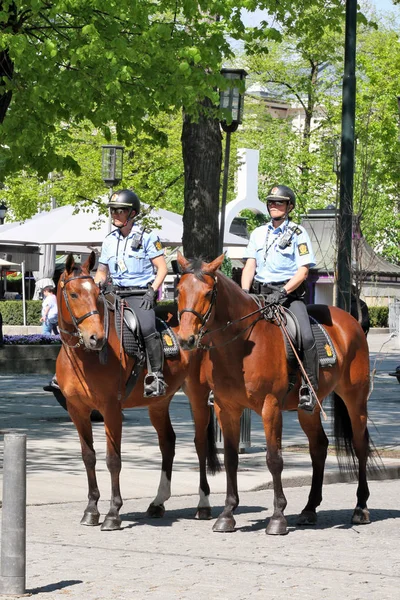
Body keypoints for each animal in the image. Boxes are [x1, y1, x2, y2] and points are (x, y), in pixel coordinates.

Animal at [55, 252, 219, 528]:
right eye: (74, 294)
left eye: (96, 294)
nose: (96, 338)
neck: (82, 356)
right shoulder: (77, 411)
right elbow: (88, 457)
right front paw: (91, 509)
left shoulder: (111, 409)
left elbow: (113, 459)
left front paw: (113, 512)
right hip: (158, 404)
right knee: (168, 442)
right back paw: (158, 502)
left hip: (197, 396)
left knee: (200, 444)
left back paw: (203, 504)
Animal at [176, 252, 376, 536]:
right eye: (179, 290)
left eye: (207, 292)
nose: (186, 339)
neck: (241, 346)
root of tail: (350, 320)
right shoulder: (226, 408)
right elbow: (231, 459)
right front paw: (227, 514)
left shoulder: (270, 407)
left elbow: (274, 459)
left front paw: (278, 517)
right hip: (309, 409)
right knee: (319, 447)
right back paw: (309, 509)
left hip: (355, 399)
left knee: (360, 446)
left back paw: (360, 508)